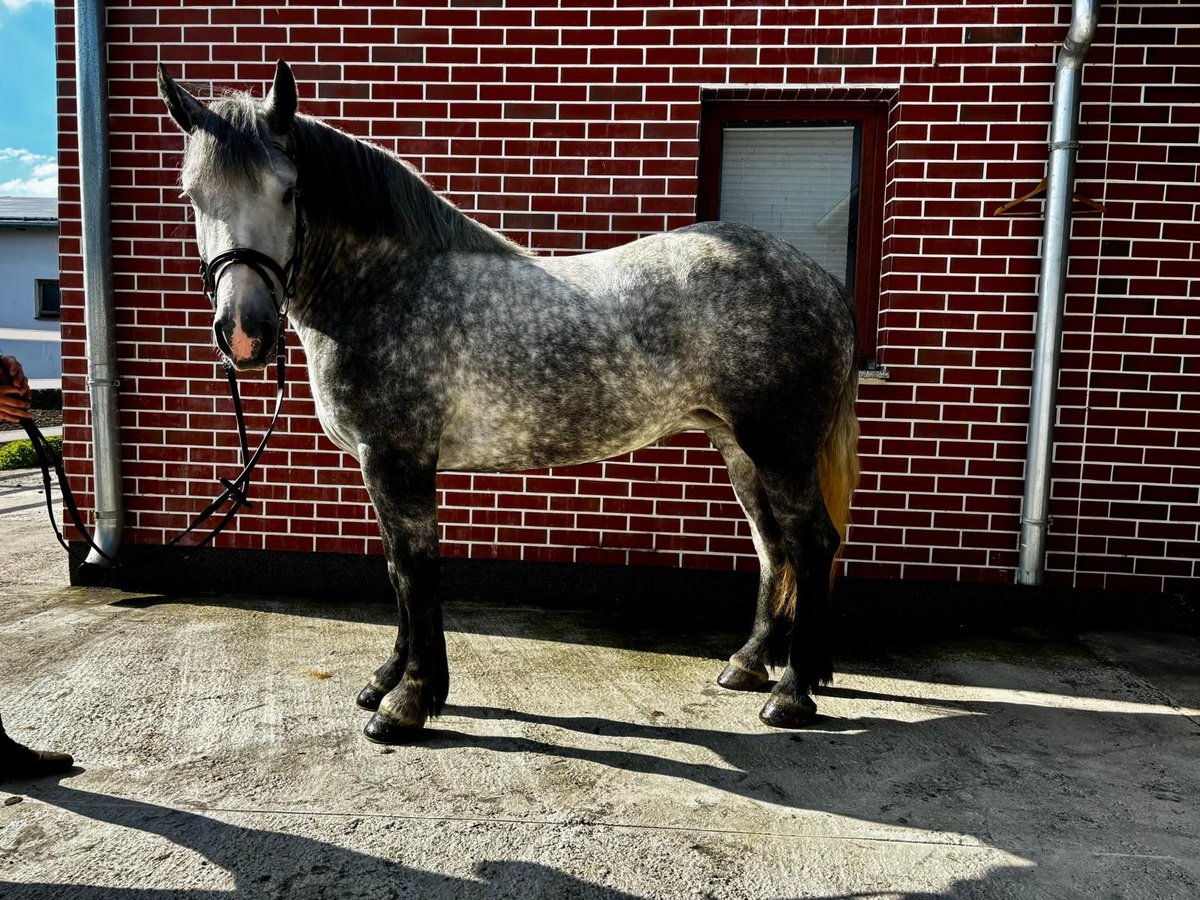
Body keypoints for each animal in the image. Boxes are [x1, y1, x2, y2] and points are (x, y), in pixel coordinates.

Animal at [157, 61, 860, 744]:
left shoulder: (397, 461)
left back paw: (793, 693)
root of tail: (820, 280)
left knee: (811, 543)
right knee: (774, 548)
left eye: (288, 190)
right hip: (740, 450)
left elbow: (414, 572)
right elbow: (395, 572)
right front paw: (388, 681)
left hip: (780, 450)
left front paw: (409, 703)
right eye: (192, 196)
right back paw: (751, 664)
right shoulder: (379, 466)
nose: (244, 333)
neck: (387, 287)